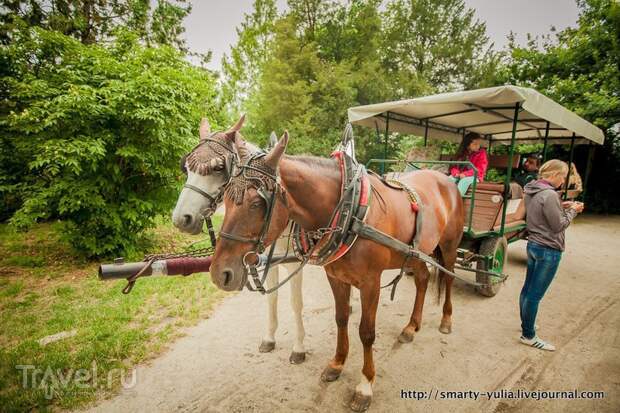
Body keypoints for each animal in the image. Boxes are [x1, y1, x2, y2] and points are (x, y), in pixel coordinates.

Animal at [211, 134, 462, 410]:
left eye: (257, 203)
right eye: (225, 199)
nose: (220, 273)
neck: (351, 213)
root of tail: (445, 178)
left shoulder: (371, 283)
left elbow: (366, 332)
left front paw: (365, 386)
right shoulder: (336, 277)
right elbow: (341, 318)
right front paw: (337, 363)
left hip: (449, 247)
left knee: (448, 278)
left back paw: (446, 319)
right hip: (416, 252)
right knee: (423, 279)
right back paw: (411, 326)